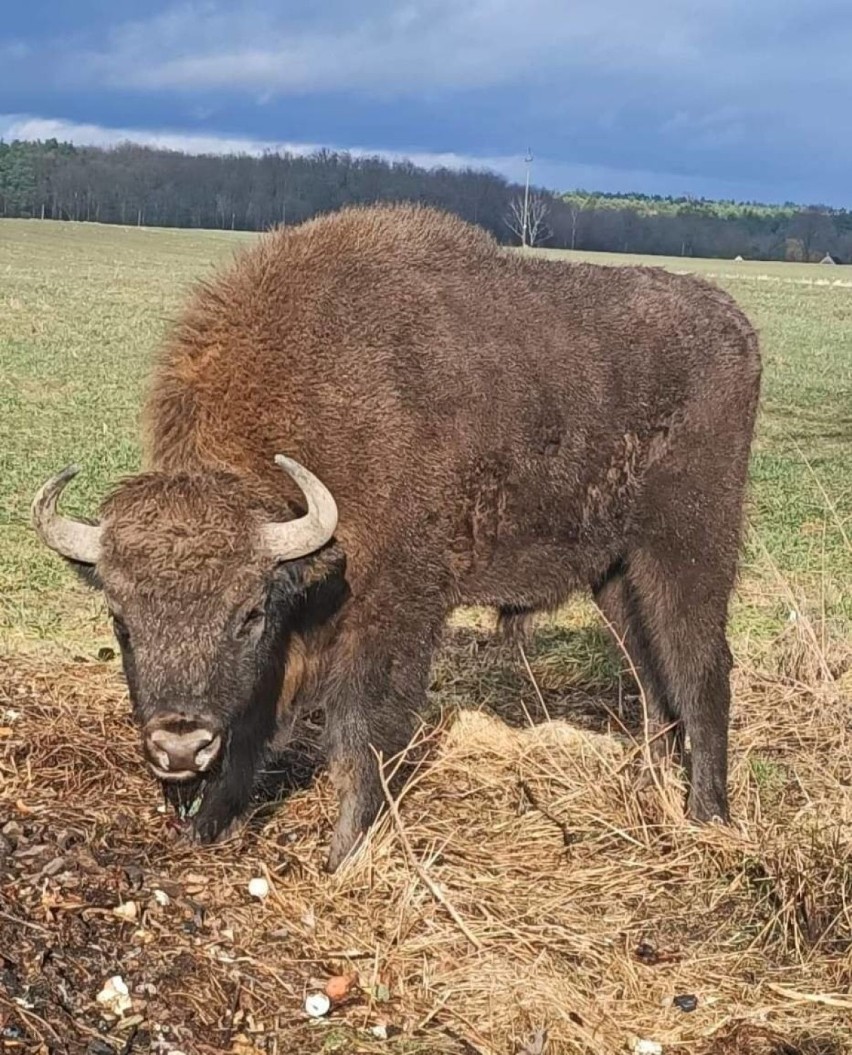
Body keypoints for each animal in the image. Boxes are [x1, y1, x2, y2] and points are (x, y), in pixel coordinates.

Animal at [31, 201, 759, 869]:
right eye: (120, 619)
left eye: (248, 614)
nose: (179, 745)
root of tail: (737, 326)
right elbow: (256, 723)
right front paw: (210, 826)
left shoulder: (392, 607)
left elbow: (362, 729)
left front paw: (345, 854)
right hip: (615, 574)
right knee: (652, 675)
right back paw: (653, 789)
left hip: (688, 550)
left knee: (701, 669)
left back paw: (707, 817)